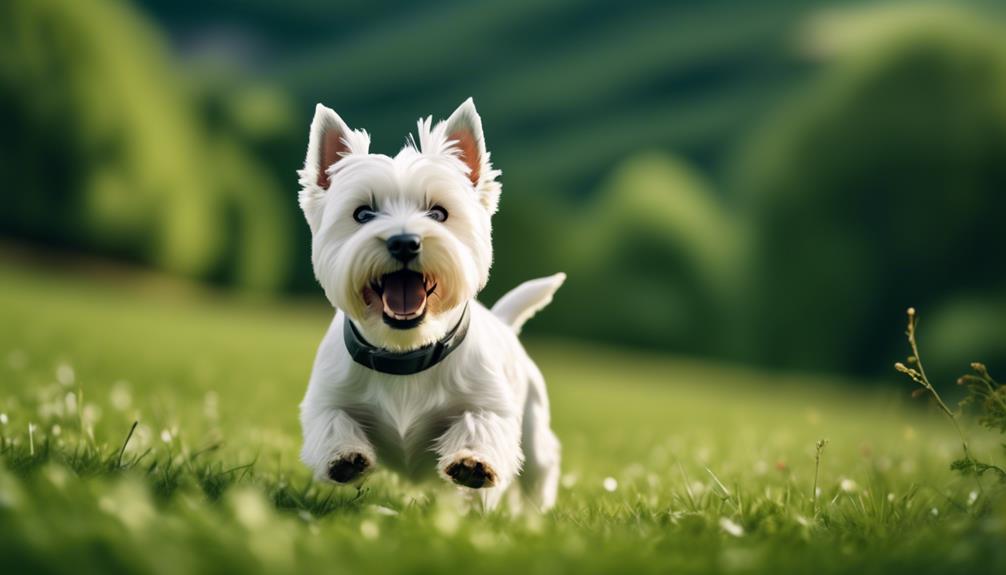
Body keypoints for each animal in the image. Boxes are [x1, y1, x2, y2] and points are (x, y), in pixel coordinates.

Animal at [297, 99, 567, 512]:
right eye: (362, 213)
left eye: (439, 213)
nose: (404, 242)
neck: (406, 352)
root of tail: (505, 323)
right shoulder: (326, 397)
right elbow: (332, 419)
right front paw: (344, 457)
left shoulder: (489, 403)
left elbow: (479, 423)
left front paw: (473, 463)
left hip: (534, 425)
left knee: (541, 464)